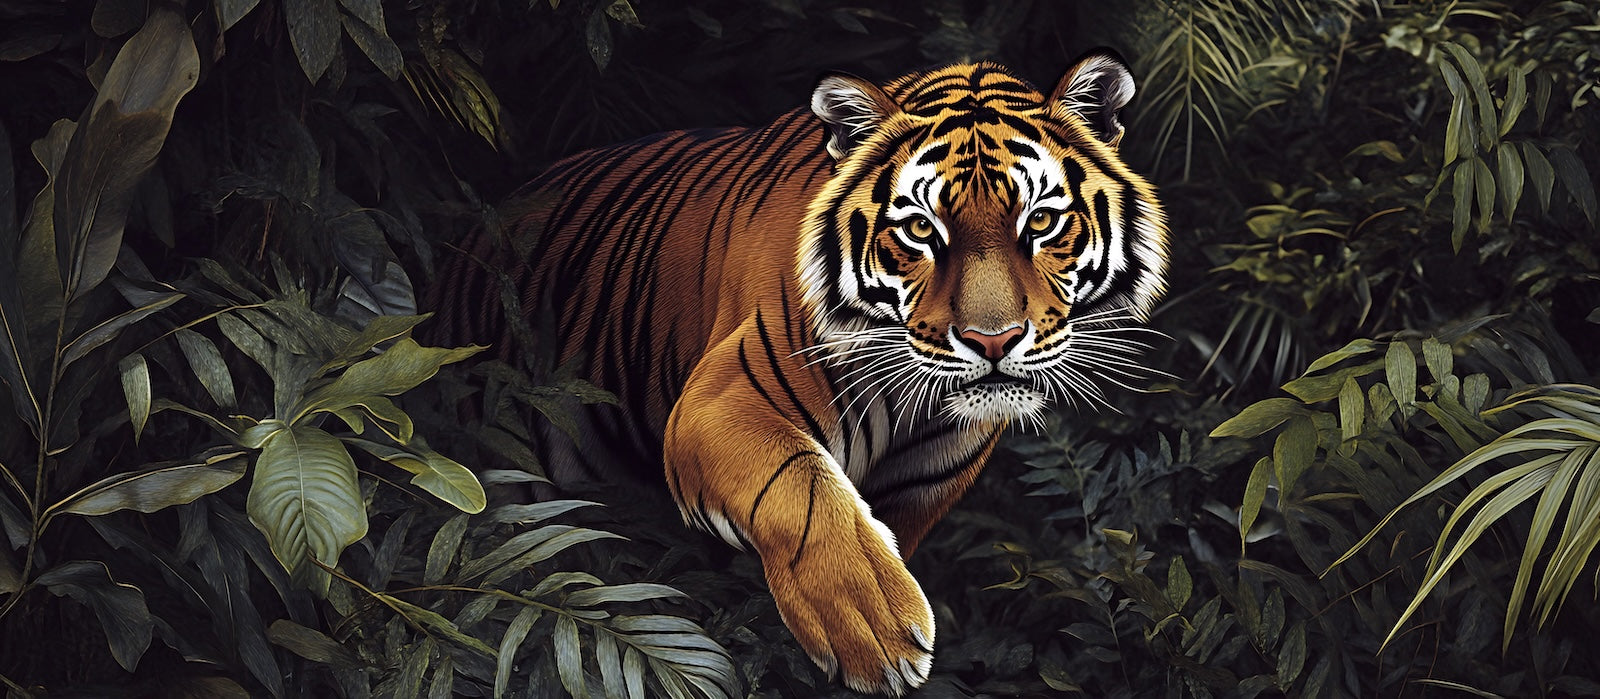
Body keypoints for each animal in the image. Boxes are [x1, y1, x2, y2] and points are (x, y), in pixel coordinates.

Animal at [434, 50, 1170, 695]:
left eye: (1041, 221)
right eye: (921, 230)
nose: (994, 340)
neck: (916, 404)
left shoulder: (919, 489)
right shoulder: (723, 397)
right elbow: (802, 489)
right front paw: (875, 626)